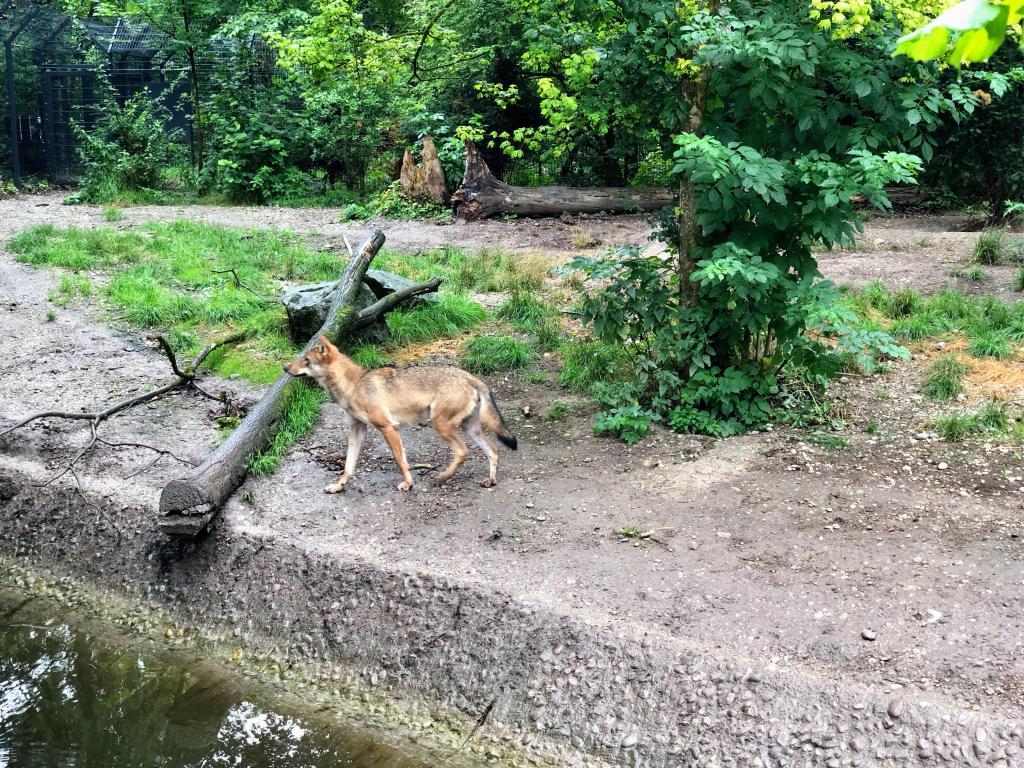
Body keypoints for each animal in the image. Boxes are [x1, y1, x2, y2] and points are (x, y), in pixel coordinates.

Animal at [284, 335, 518, 493]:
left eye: (305, 360)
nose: (285, 368)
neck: (353, 386)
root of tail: (471, 377)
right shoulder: (357, 430)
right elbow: (349, 466)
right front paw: (337, 486)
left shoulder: (388, 428)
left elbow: (400, 460)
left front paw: (408, 483)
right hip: (469, 428)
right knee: (493, 450)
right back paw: (490, 481)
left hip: (441, 425)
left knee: (463, 451)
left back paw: (442, 476)